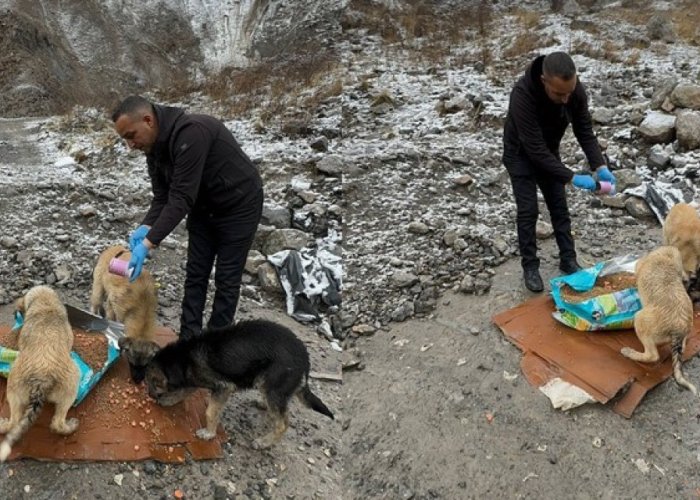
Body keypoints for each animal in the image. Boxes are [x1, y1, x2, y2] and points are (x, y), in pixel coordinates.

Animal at [0, 286, 80, 460]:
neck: (45, 302)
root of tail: (41, 380)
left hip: (14, 390)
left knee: (14, 422)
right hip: (72, 383)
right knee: (57, 423)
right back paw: (70, 426)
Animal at [90, 244, 159, 380]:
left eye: (146, 365)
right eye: (131, 363)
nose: (137, 381)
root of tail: (114, 248)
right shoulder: (114, 304)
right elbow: (112, 317)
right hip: (98, 289)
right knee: (96, 303)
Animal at [142, 320, 334, 450]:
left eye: (152, 382)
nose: (150, 396)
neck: (184, 358)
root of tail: (305, 360)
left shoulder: (223, 387)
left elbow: (210, 411)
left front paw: (208, 433)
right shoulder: (193, 378)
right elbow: (183, 391)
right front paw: (169, 401)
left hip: (273, 384)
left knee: (282, 424)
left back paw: (263, 442)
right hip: (268, 385)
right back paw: (263, 404)